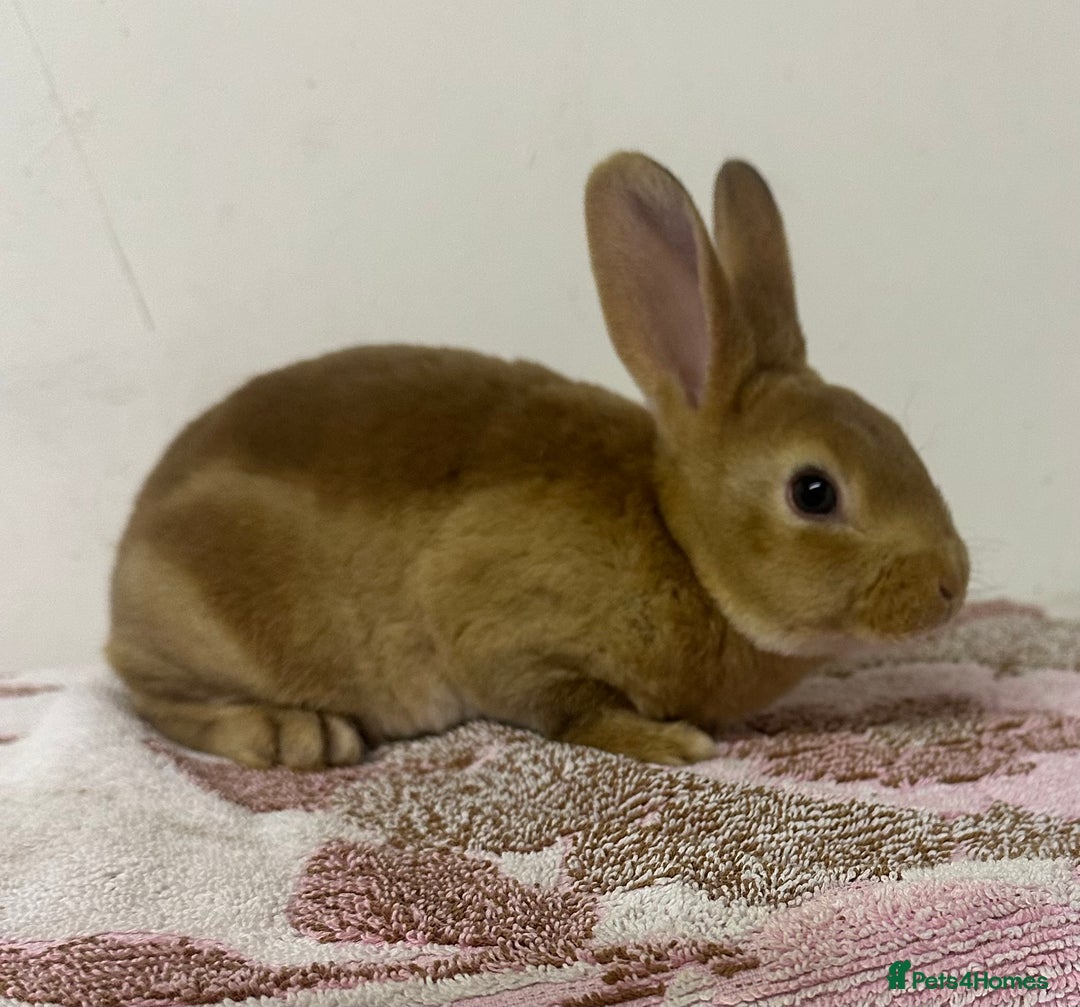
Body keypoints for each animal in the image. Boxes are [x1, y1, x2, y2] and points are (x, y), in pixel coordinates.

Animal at [107, 152, 969, 769]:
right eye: (814, 491)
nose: (952, 585)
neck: (682, 545)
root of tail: (130, 555)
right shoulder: (508, 633)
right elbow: (570, 707)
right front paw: (670, 741)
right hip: (204, 619)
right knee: (146, 692)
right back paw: (295, 734)